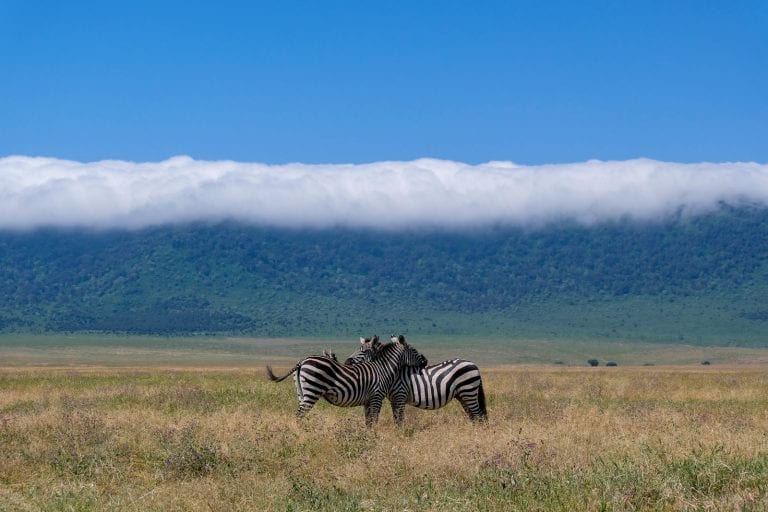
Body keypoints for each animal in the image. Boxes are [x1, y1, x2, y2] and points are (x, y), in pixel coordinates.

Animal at [268, 334, 428, 426]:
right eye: (414, 351)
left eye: (362, 350)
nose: (425, 361)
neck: (383, 368)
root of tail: (302, 361)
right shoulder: (377, 397)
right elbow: (374, 419)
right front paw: (374, 438)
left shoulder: (367, 400)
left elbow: (368, 421)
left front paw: (368, 437)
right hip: (312, 390)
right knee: (299, 415)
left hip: (301, 392)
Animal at [342, 334, 486, 422]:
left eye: (363, 351)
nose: (346, 362)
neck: (392, 373)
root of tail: (473, 364)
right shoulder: (393, 400)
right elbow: (396, 419)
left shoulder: (400, 396)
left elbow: (399, 420)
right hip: (462, 395)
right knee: (474, 416)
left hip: (468, 391)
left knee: (478, 416)